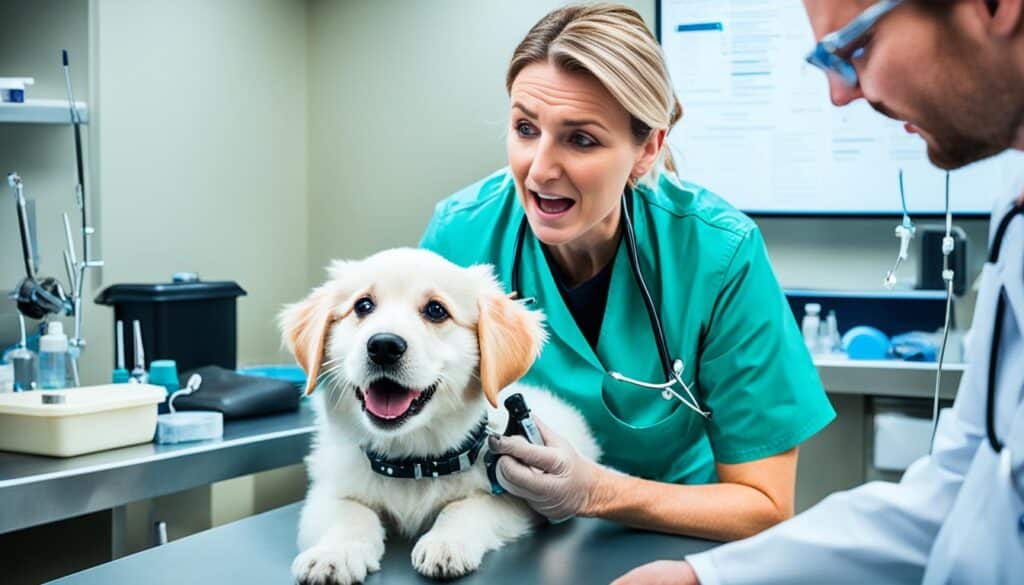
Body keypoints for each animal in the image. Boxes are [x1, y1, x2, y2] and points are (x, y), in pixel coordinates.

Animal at [280, 247, 598, 585]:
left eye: (436, 310)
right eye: (363, 305)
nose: (383, 346)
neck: (411, 462)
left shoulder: (519, 499)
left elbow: (467, 506)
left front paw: (446, 543)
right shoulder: (326, 491)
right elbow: (350, 513)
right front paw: (334, 553)